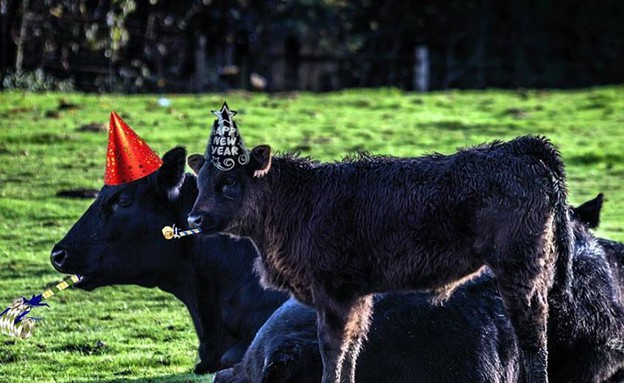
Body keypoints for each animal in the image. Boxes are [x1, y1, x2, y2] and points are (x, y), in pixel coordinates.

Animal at [189, 104, 572, 383]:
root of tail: (516, 148)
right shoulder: (357, 295)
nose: (194, 219)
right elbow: (352, 348)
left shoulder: (333, 292)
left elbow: (333, 347)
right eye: (200, 181)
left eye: (229, 183)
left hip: (518, 268)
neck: (298, 200)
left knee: (532, 331)